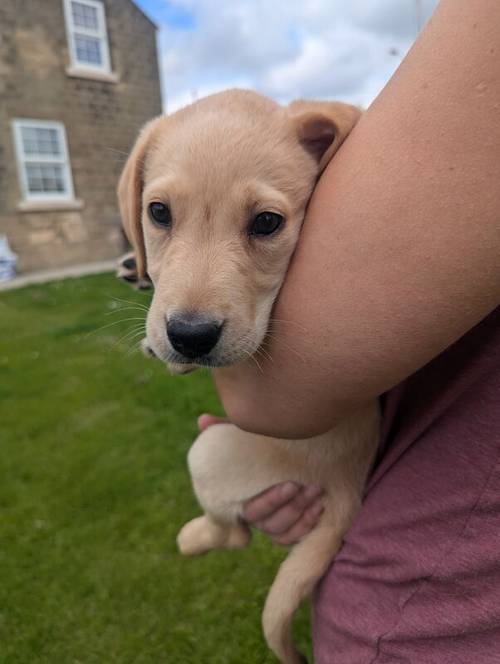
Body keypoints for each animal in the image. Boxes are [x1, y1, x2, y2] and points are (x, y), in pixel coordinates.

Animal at [117, 91, 380, 664]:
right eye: (158, 212)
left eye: (266, 223)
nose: (189, 336)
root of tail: (350, 485)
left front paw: (171, 355)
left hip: (213, 451)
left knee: (233, 534)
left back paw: (194, 537)